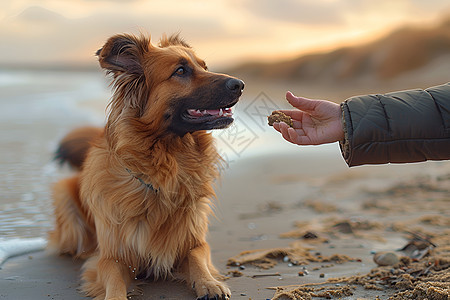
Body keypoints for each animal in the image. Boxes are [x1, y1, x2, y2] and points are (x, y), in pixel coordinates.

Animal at [49, 33, 244, 300]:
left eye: (205, 67)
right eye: (180, 71)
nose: (240, 84)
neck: (167, 167)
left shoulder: (193, 241)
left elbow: (197, 258)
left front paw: (209, 284)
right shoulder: (111, 257)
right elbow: (113, 280)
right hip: (63, 195)